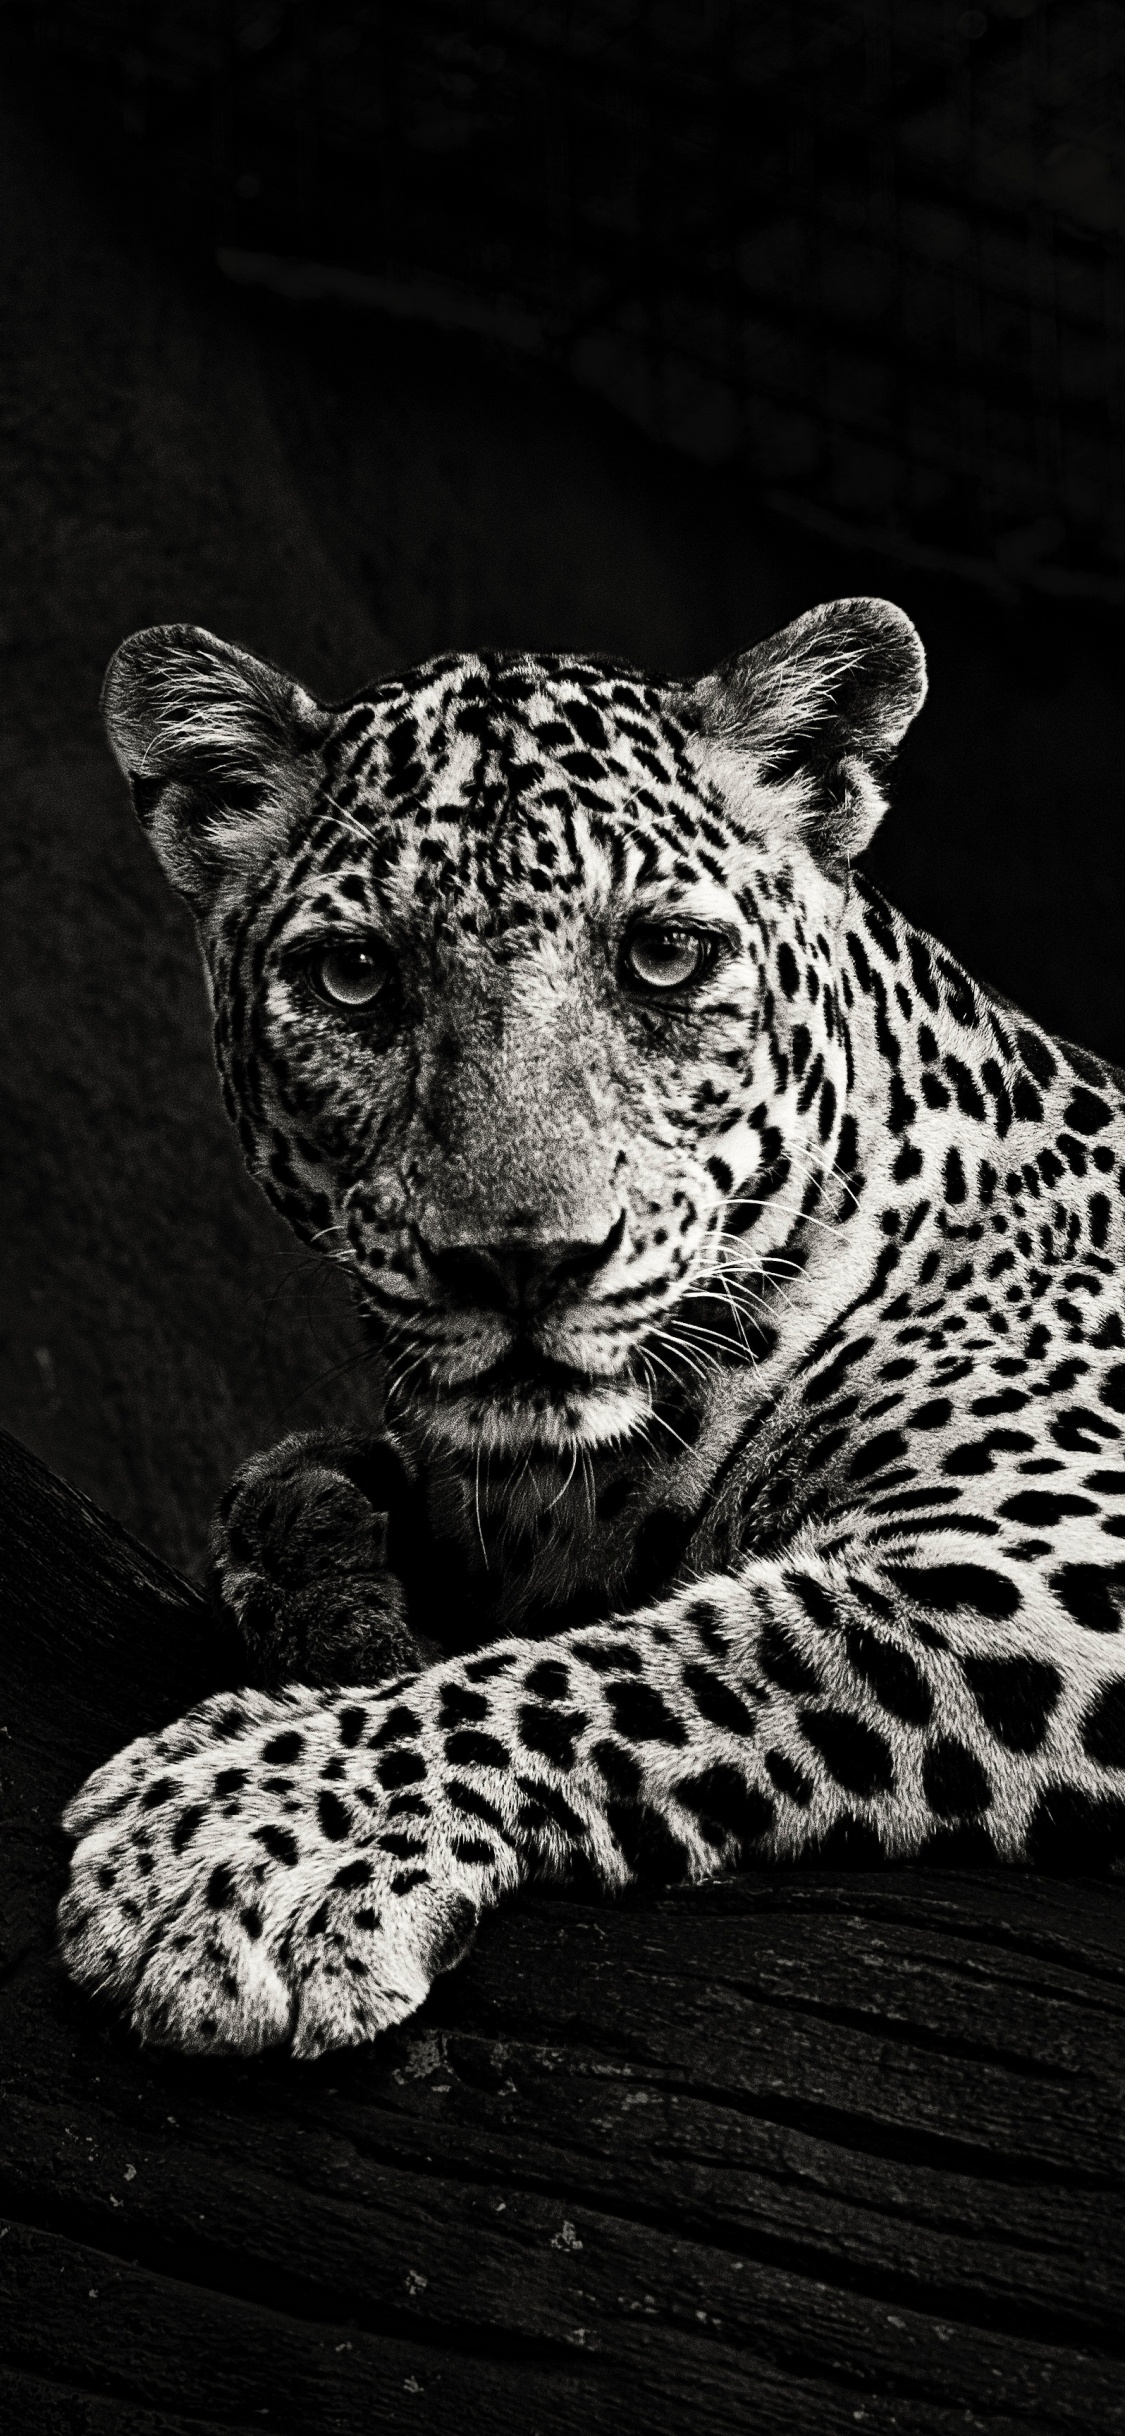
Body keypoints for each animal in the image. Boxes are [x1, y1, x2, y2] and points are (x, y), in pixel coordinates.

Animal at [58, 595, 1125, 2060]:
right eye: (354, 977)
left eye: (662, 958)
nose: (523, 1263)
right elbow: (283, 1491)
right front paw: (334, 1589)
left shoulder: (1057, 1550)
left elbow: (673, 1658)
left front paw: (229, 1838)